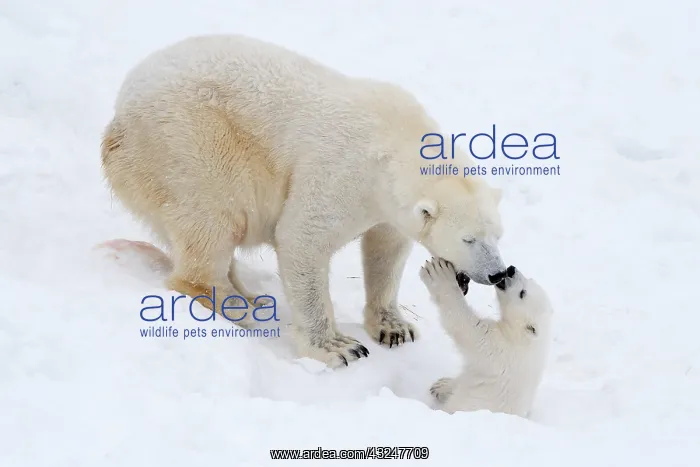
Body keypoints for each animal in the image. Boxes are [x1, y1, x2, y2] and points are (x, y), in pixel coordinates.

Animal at [100, 34, 508, 368]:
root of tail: (116, 123)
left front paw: (394, 328)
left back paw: (251, 297)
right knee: (212, 221)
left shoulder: (386, 206)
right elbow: (302, 239)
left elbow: (386, 249)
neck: (397, 136)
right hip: (189, 143)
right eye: (468, 239)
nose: (497, 273)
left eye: (498, 235)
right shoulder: (342, 174)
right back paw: (240, 306)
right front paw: (339, 348)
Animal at [419, 258, 553, 418]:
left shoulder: (499, 352)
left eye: (522, 293)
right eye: (529, 280)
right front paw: (441, 385)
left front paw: (439, 273)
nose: (511, 269)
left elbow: (469, 330)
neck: (521, 339)